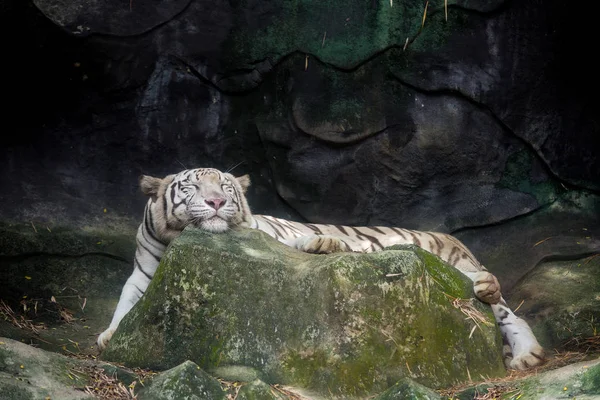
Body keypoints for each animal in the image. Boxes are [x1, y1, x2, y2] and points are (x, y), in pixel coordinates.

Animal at [97, 167, 544, 370]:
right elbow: (125, 305)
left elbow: (297, 240)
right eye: (191, 186)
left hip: (452, 261)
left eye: (224, 187)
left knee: (506, 309)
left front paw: (323, 243)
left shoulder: (274, 232)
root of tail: (455, 239)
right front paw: (109, 336)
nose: (216, 203)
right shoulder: (142, 273)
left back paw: (524, 351)